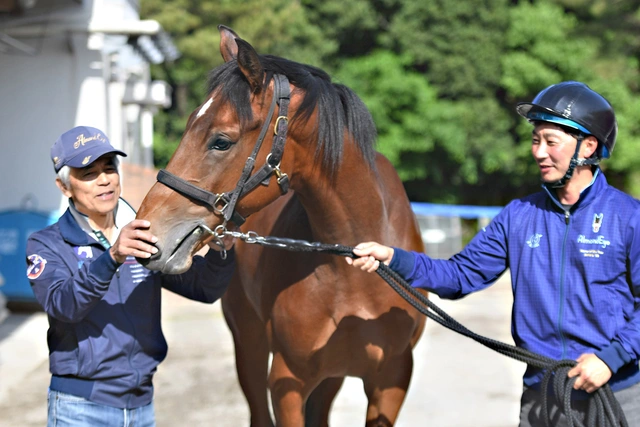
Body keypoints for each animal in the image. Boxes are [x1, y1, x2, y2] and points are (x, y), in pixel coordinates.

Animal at [139, 25, 430, 426]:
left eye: (221, 141)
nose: (148, 233)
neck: (354, 268)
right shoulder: (287, 381)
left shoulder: (391, 381)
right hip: (250, 346)